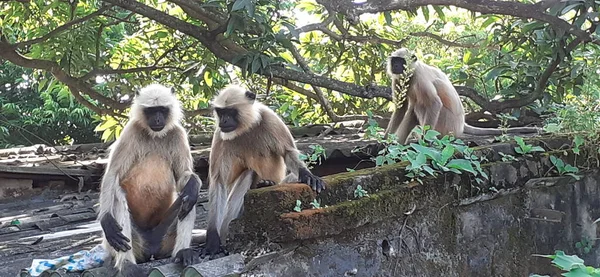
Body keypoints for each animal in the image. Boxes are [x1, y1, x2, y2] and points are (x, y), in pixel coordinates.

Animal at [98, 83, 202, 274]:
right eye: (152, 111)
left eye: (162, 110)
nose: (158, 119)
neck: (154, 136)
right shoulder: (131, 131)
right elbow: (112, 175)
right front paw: (106, 219)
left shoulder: (177, 133)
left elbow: (184, 177)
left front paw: (191, 185)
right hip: (130, 243)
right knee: (117, 193)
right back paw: (127, 264)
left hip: (164, 239)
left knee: (189, 199)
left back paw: (182, 251)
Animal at [202, 84, 324, 256]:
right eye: (221, 112)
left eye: (230, 112)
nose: (224, 120)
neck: (246, 128)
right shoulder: (220, 134)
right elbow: (218, 180)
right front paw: (212, 239)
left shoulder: (269, 118)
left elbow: (288, 152)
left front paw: (308, 175)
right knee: (249, 172)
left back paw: (267, 183)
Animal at [386, 47, 540, 143]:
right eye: (394, 61)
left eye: (401, 61)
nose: (395, 66)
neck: (410, 75)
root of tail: (461, 124)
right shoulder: (397, 79)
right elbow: (401, 108)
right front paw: (385, 140)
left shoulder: (419, 77)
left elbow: (435, 103)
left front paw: (424, 141)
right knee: (414, 108)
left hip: (447, 125)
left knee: (424, 102)